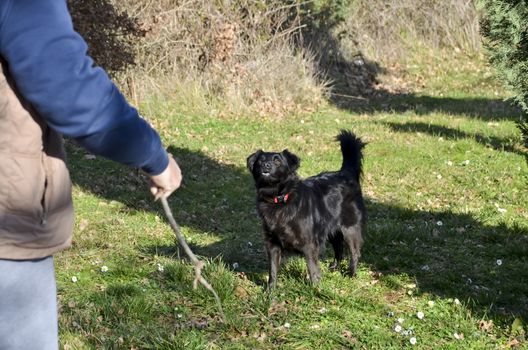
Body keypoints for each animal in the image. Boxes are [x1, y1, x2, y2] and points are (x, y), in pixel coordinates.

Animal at [249, 130, 368, 288]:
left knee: (354, 251)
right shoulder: (272, 244)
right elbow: (273, 270)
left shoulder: (309, 244)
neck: (279, 199)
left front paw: (316, 289)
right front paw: (270, 290)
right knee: (338, 247)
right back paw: (334, 267)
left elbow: (312, 269)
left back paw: (352, 274)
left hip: (350, 227)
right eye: (260, 161)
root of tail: (345, 173)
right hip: (331, 228)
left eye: (277, 161)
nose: (266, 166)